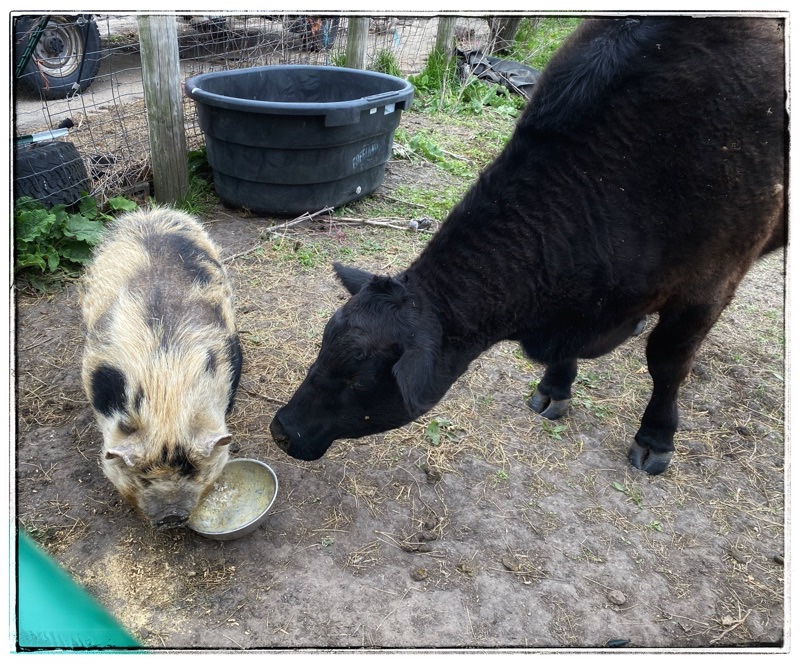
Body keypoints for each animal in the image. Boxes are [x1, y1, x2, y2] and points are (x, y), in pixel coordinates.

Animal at [270, 17, 786, 475]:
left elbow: (668, 364)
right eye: (320, 349)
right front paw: (556, 387)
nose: (281, 430)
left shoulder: (709, 284)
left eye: (357, 379)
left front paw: (655, 439)